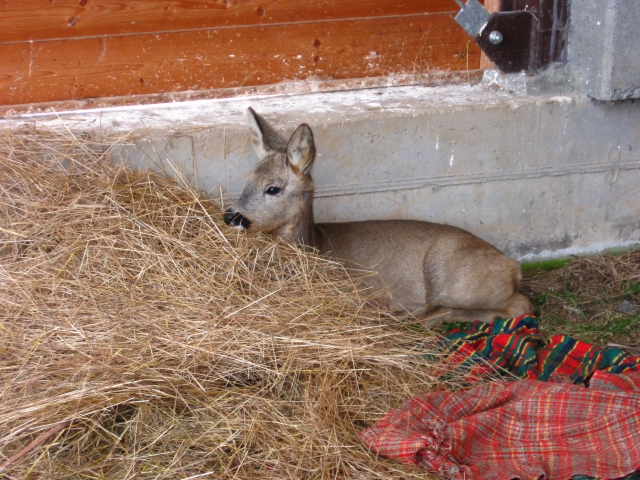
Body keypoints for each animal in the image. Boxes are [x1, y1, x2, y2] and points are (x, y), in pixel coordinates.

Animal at [222, 108, 532, 326]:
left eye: (273, 188)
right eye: (247, 179)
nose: (231, 216)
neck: (317, 246)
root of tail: (513, 267)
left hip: (452, 279)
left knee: (521, 305)